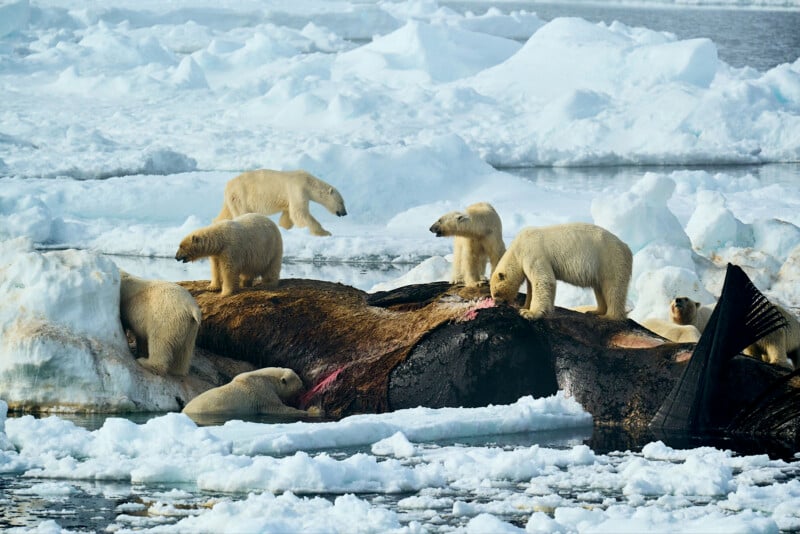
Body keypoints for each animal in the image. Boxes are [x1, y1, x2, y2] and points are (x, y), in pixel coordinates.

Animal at [216, 170, 346, 237]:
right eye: (341, 202)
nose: (345, 213)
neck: (308, 182)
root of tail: (228, 185)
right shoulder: (297, 190)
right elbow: (299, 213)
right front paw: (325, 232)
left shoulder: (290, 198)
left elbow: (288, 215)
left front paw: (283, 229)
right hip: (241, 195)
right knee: (242, 213)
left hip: (232, 199)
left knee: (226, 213)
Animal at [490, 223, 636, 322]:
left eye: (496, 293)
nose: (497, 303)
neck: (517, 248)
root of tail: (627, 247)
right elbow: (531, 285)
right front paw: (524, 306)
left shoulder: (533, 253)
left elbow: (543, 280)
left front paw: (528, 313)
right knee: (600, 288)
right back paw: (595, 311)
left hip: (610, 260)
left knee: (613, 288)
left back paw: (610, 316)